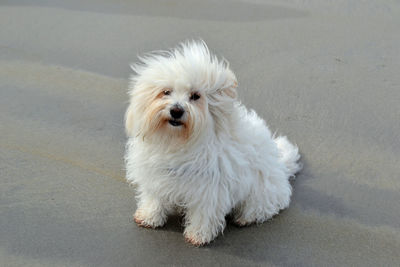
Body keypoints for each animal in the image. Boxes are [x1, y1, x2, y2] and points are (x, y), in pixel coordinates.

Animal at [123, 40, 302, 246]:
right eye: (166, 92)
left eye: (195, 96)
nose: (176, 110)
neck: (177, 141)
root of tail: (281, 167)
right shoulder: (156, 176)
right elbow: (154, 198)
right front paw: (149, 217)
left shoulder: (210, 189)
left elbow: (204, 213)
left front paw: (198, 234)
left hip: (262, 191)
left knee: (267, 206)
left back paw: (245, 217)